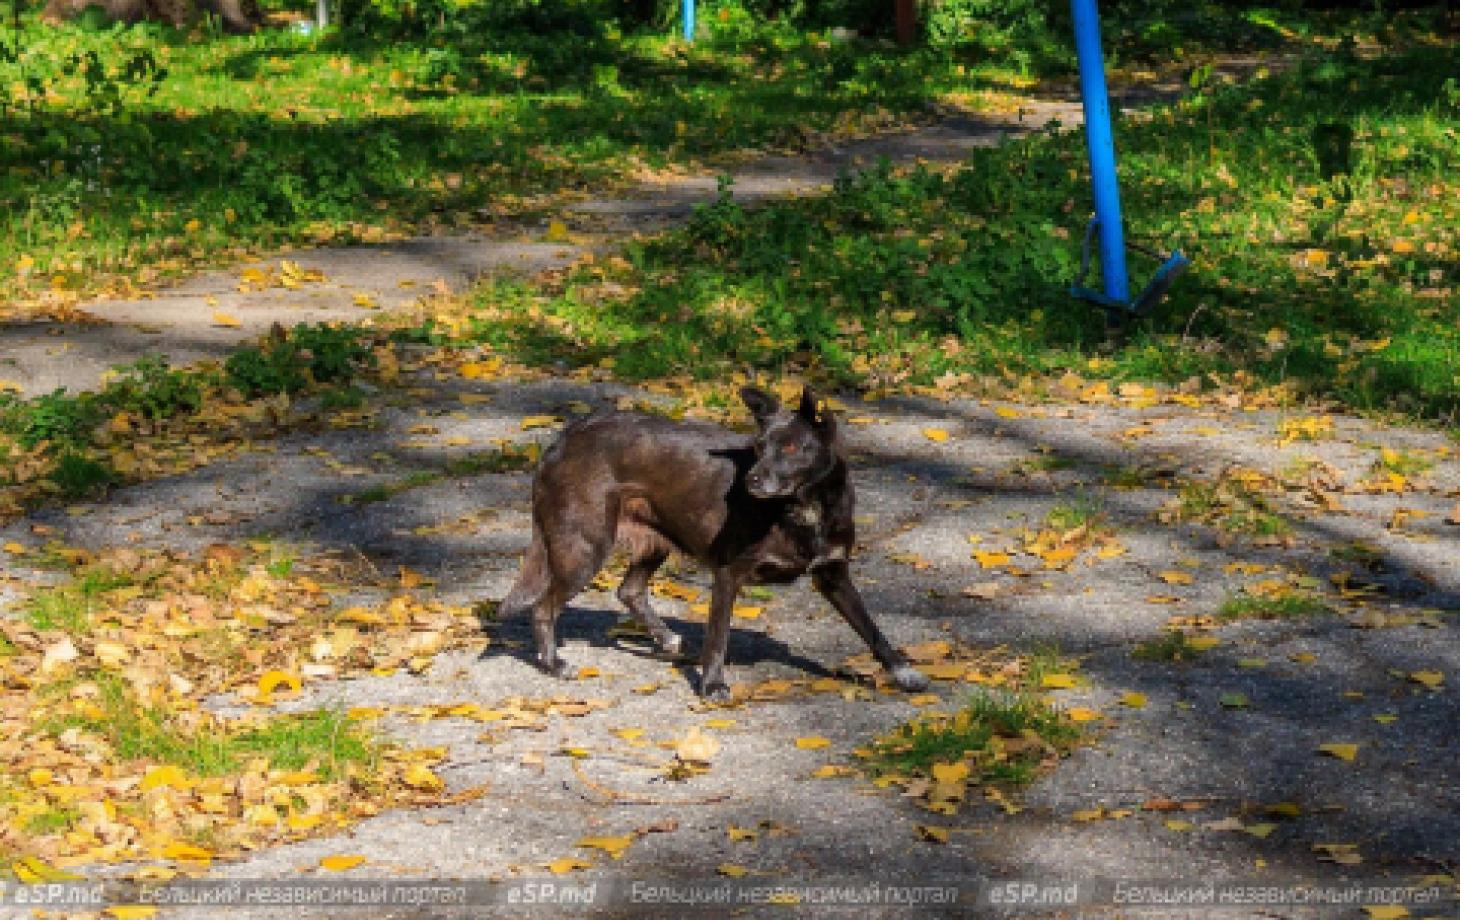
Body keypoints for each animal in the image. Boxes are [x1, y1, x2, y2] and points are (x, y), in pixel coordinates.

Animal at [502, 385, 928, 703]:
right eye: (758, 448)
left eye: (792, 448)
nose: (751, 480)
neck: (802, 507)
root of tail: (563, 438)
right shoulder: (728, 574)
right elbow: (718, 636)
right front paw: (712, 685)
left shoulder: (833, 575)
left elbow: (873, 630)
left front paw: (904, 673)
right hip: (585, 549)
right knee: (542, 607)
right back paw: (553, 663)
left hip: (655, 540)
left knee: (629, 590)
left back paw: (665, 637)